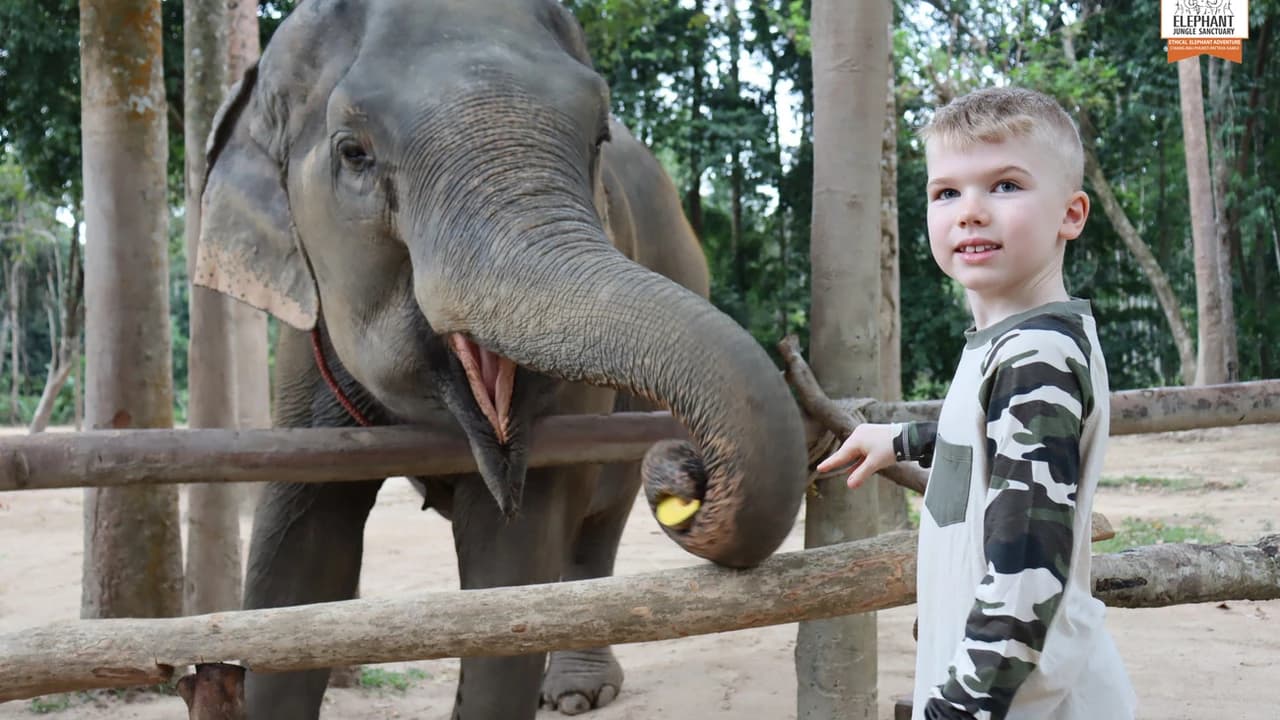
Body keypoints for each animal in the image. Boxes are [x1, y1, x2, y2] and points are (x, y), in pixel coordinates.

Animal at [192, 0, 808, 717]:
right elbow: (299, 557)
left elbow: (513, 562)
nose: (693, 468)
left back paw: (574, 693)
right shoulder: (303, 342)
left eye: (598, 138)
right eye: (353, 153)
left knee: (602, 517)